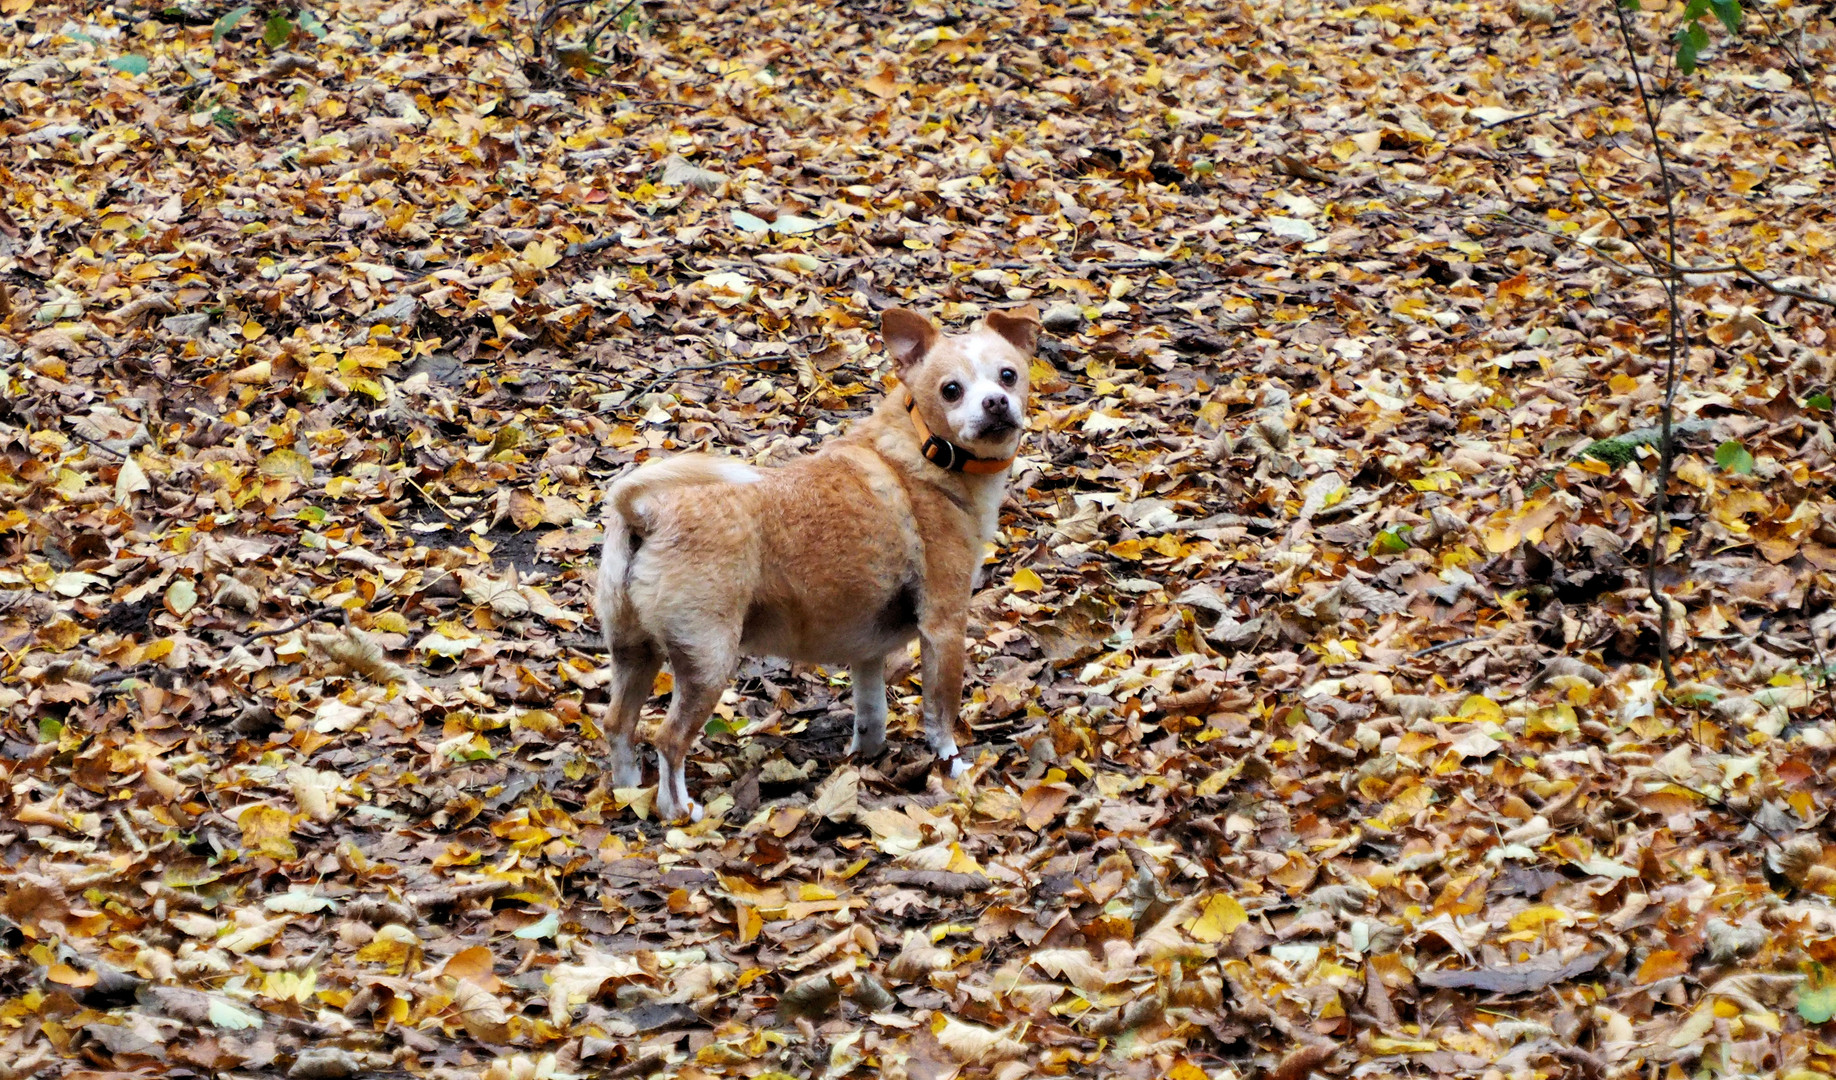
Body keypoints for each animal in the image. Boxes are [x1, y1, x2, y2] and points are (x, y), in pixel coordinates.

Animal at [594, 303, 1042, 819]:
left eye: (1008, 376)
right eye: (951, 390)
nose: (996, 403)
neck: (924, 450)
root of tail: (644, 512)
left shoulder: (867, 652)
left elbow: (871, 713)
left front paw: (865, 762)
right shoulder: (944, 627)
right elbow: (941, 714)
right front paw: (953, 770)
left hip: (634, 652)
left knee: (618, 725)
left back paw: (629, 793)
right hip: (708, 661)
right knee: (668, 740)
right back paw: (680, 812)